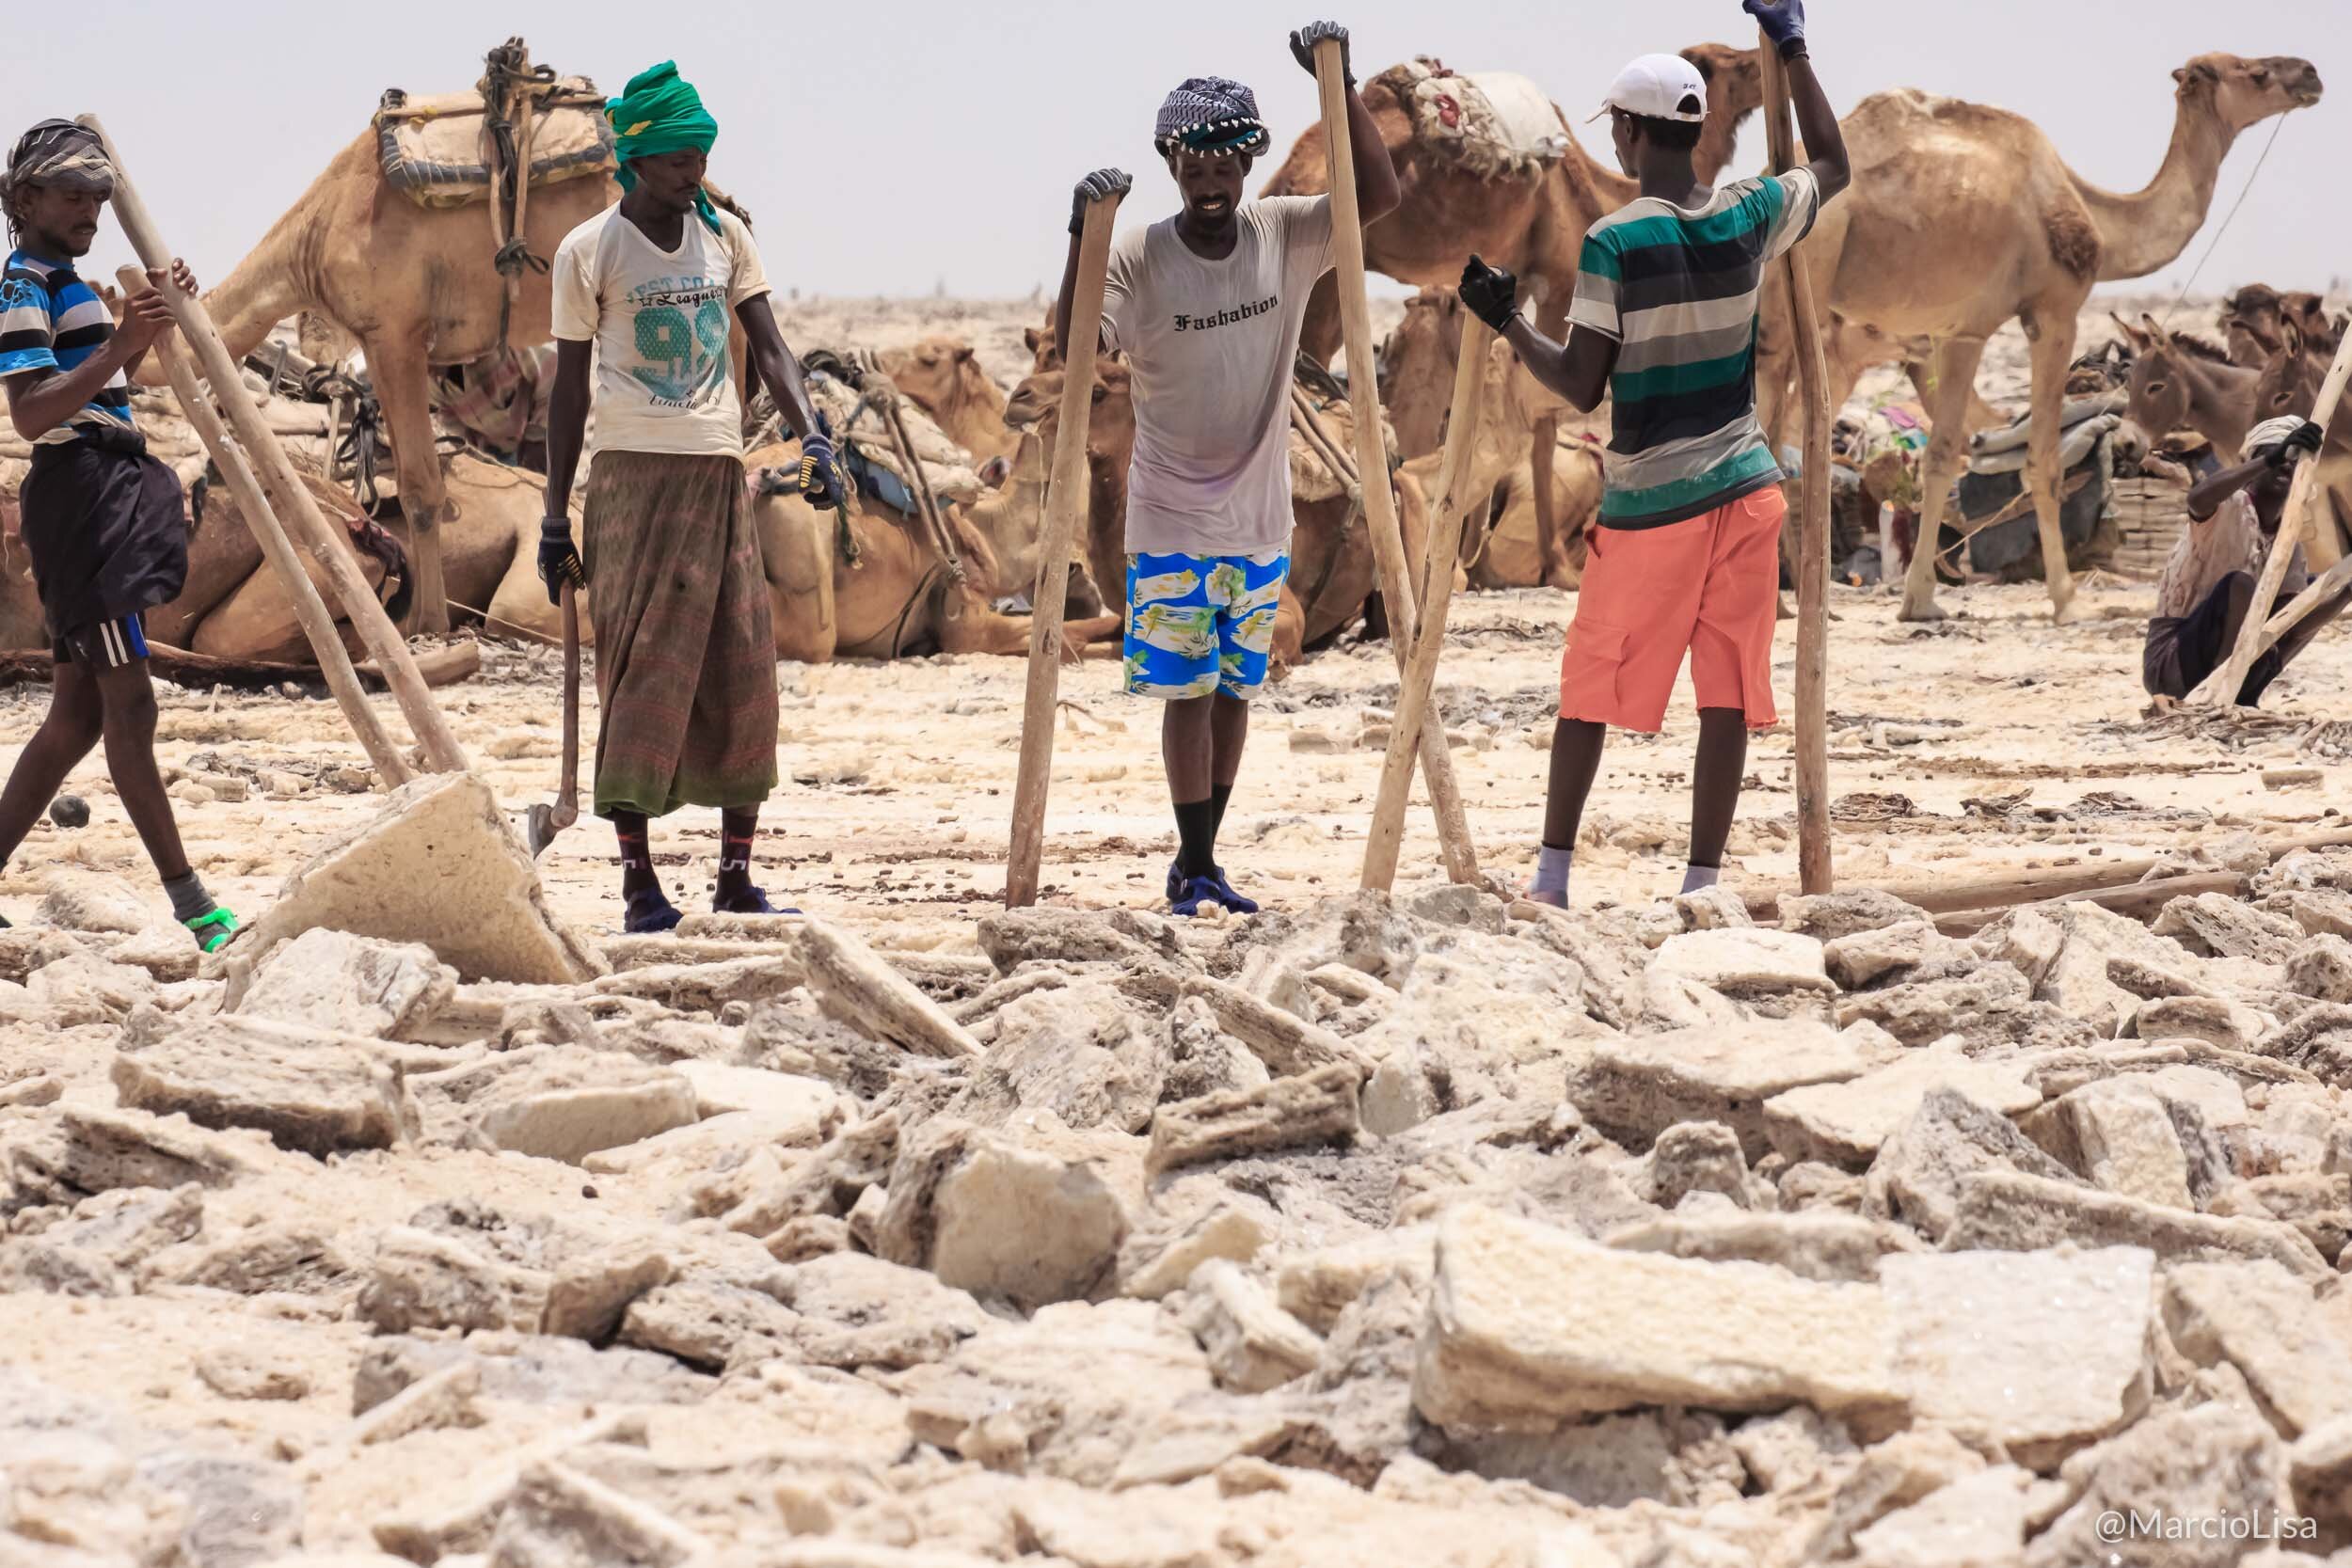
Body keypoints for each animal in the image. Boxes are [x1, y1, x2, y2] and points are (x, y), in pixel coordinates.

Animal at [1759, 52, 2324, 620]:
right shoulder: (2056, 313)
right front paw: (2066, 599)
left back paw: (1786, 605)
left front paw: (1919, 600)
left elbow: (1942, 456)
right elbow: (2043, 461)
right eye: (2254, 72)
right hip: (1809, 274)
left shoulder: (1959, 331)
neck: (2095, 217)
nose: (2310, 75)